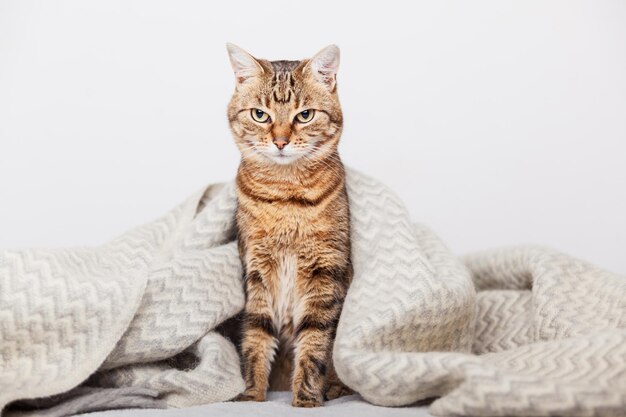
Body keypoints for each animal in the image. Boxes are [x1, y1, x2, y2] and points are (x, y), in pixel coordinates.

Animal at [224, 43, 352, 406]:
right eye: (260, 114)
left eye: (304, 115)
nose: (280, 141)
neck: (286, 198)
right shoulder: (255, 269)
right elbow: (256, 335)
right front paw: (251, 394)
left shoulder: (327, 268)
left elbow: (314, 341)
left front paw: (306, 398)